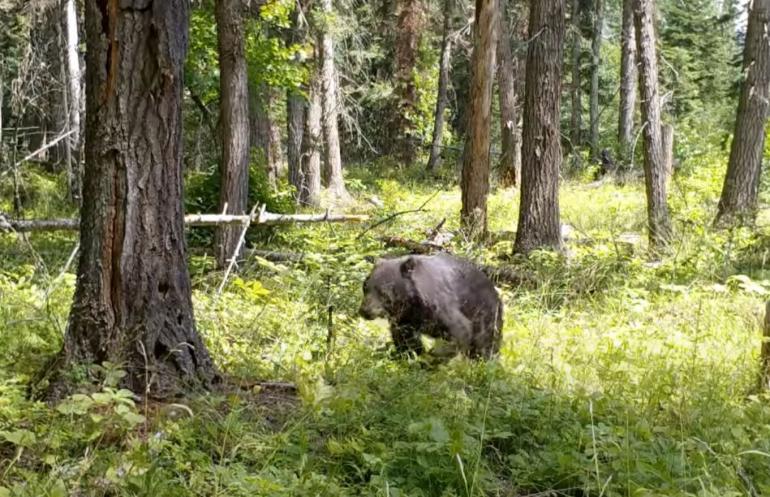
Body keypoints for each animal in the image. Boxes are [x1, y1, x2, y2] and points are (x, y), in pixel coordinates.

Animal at [356, 252, 500, 356]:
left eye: (383, 291)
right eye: (365, 286)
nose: (364, 310)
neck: (410, 301)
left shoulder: (440, 306)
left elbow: (459, 330)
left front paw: (434, 355)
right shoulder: (405, 318)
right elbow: (406, 339)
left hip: (485, 312)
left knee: (485, 342)